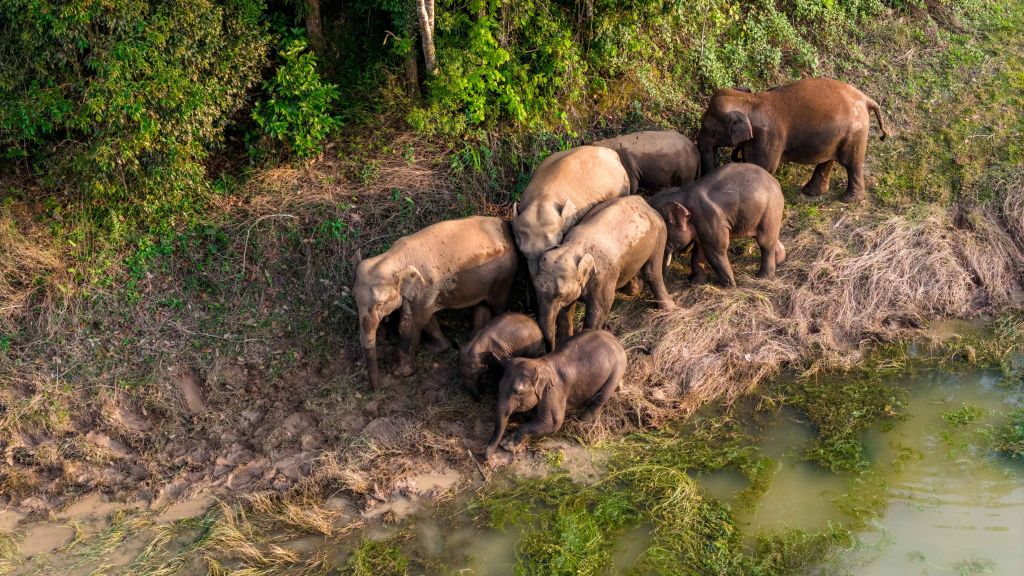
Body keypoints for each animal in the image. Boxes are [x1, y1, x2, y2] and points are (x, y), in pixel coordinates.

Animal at [354, 216, 518, 390]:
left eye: (380, 304)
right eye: (355, 300)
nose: (375, 389)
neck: (393, 258)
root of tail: (504, 225)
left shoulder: (426, 286)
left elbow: (411, 323)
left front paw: (401, 373)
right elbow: (424, 318)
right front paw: (440, 348)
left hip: (504, 274)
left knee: (497, 304)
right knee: (482, 304)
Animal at [484, 329, 626, 457]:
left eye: (517, 391)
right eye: (499, 386)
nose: (486, 457)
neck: (541, 363)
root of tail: (617, 340)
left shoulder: (554, 392)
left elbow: (553, 423)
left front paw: (507, 444)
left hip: (617, 368)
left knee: (601, 397)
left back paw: (581, 424)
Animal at [534, 195, 676, 350]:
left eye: (560, 294)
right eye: (535, 286)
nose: (550, 350)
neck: (573, 246)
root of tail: (644, 201)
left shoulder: (603, 276)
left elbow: (600, 308)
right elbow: (567, 310)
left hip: (659, 235)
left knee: (652, 272)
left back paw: (669, 308)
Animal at [648, 163, 785, 287]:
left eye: (664, 234)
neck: (682, 193)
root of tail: (776, 182)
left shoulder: (710, 218)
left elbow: (715, 250)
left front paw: (728, 286)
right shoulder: (701, 225)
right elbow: (698, 251)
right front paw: (696, 283)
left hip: (770, 209)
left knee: (764, 242)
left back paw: (763, 278)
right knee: (770, 238)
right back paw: (779, 261)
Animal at [696, 77, 888, 202]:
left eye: (710, 130)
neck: (751, 101)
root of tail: (866, 99)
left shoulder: (769, 137)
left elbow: (762, 167)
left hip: (854, 133)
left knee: (851, 163)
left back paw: (849, 200)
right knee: (828, 160)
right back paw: (811, 193)